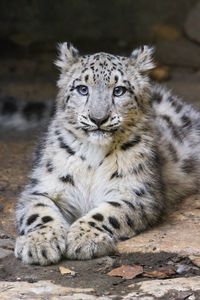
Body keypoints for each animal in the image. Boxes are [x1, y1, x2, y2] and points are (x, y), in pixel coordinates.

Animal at [14, 42, 200, 264]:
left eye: (119, 90)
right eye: (82, 89)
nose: (98, 118)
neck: (93, 156)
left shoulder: (136, 192)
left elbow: (108, 212)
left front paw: (84, 238)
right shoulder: (44, 187)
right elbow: (39, 211)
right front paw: (39, 243)